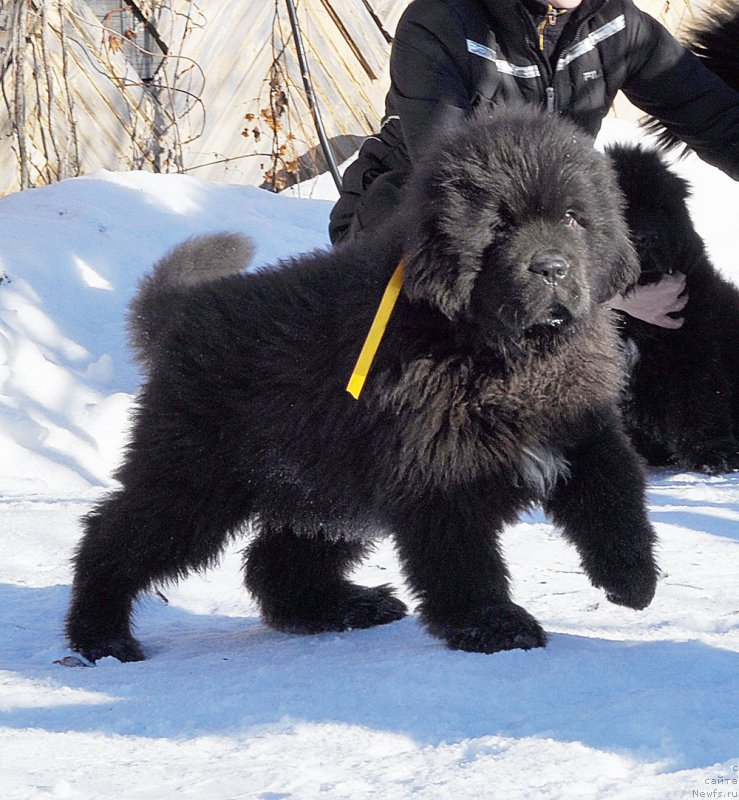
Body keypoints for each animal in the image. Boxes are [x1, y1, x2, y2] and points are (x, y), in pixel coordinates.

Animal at [66, 111, 660, 664]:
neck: (496, 351)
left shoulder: (578, 419)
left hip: (322, 482)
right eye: (500, 223)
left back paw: (345, 607)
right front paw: (493, 626)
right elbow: (463, 556)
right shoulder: (438, 466)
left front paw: (633, 579)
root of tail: (187, 310)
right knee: (114, 537)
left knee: (275, 562)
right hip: (198, 476)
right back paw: (101, 636)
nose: (552, 267)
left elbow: (614, 489)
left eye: (573, 217)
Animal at [608, 144, 739, 472]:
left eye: (660, 206)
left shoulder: (690, 346)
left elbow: (699, 397)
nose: (647, 237)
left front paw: (713, 454)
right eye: (622, 206)